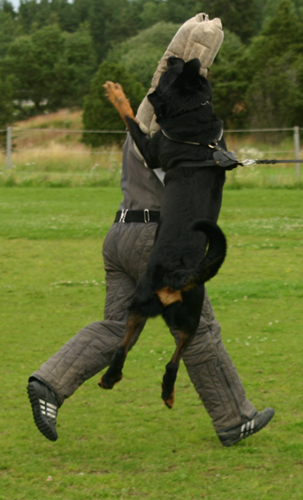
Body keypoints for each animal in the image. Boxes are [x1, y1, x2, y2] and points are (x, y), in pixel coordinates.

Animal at [98, 56, 229, 408]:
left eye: (172, 70)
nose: (174, 58)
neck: (194, 117)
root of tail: (178, 276)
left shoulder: (151, 148)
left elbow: (130, 117)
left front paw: (116, 92)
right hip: (191, 318)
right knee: (173, 361)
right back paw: (167, 393)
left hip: (137, 301)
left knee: (122, 347)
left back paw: (109, 377)